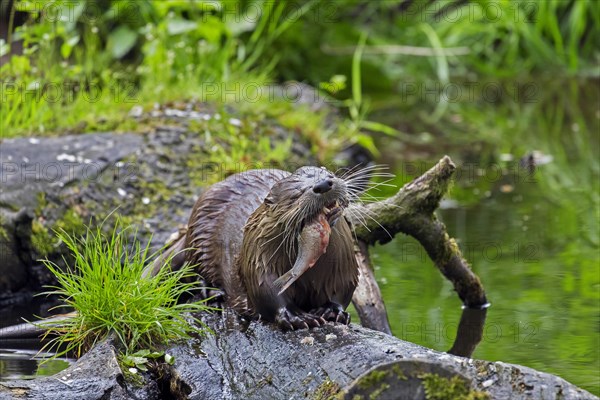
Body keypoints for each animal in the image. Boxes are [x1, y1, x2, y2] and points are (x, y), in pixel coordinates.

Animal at [149, 166, 360, 332]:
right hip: (199, 237)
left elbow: (343, 289)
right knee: (193, 272)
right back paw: (213, 292)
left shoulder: (344, 266)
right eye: (296, 195)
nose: (323, 184)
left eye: (330, 175)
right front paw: (298, 317)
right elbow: (267, 291)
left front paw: (331, 310)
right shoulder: (259, 260)